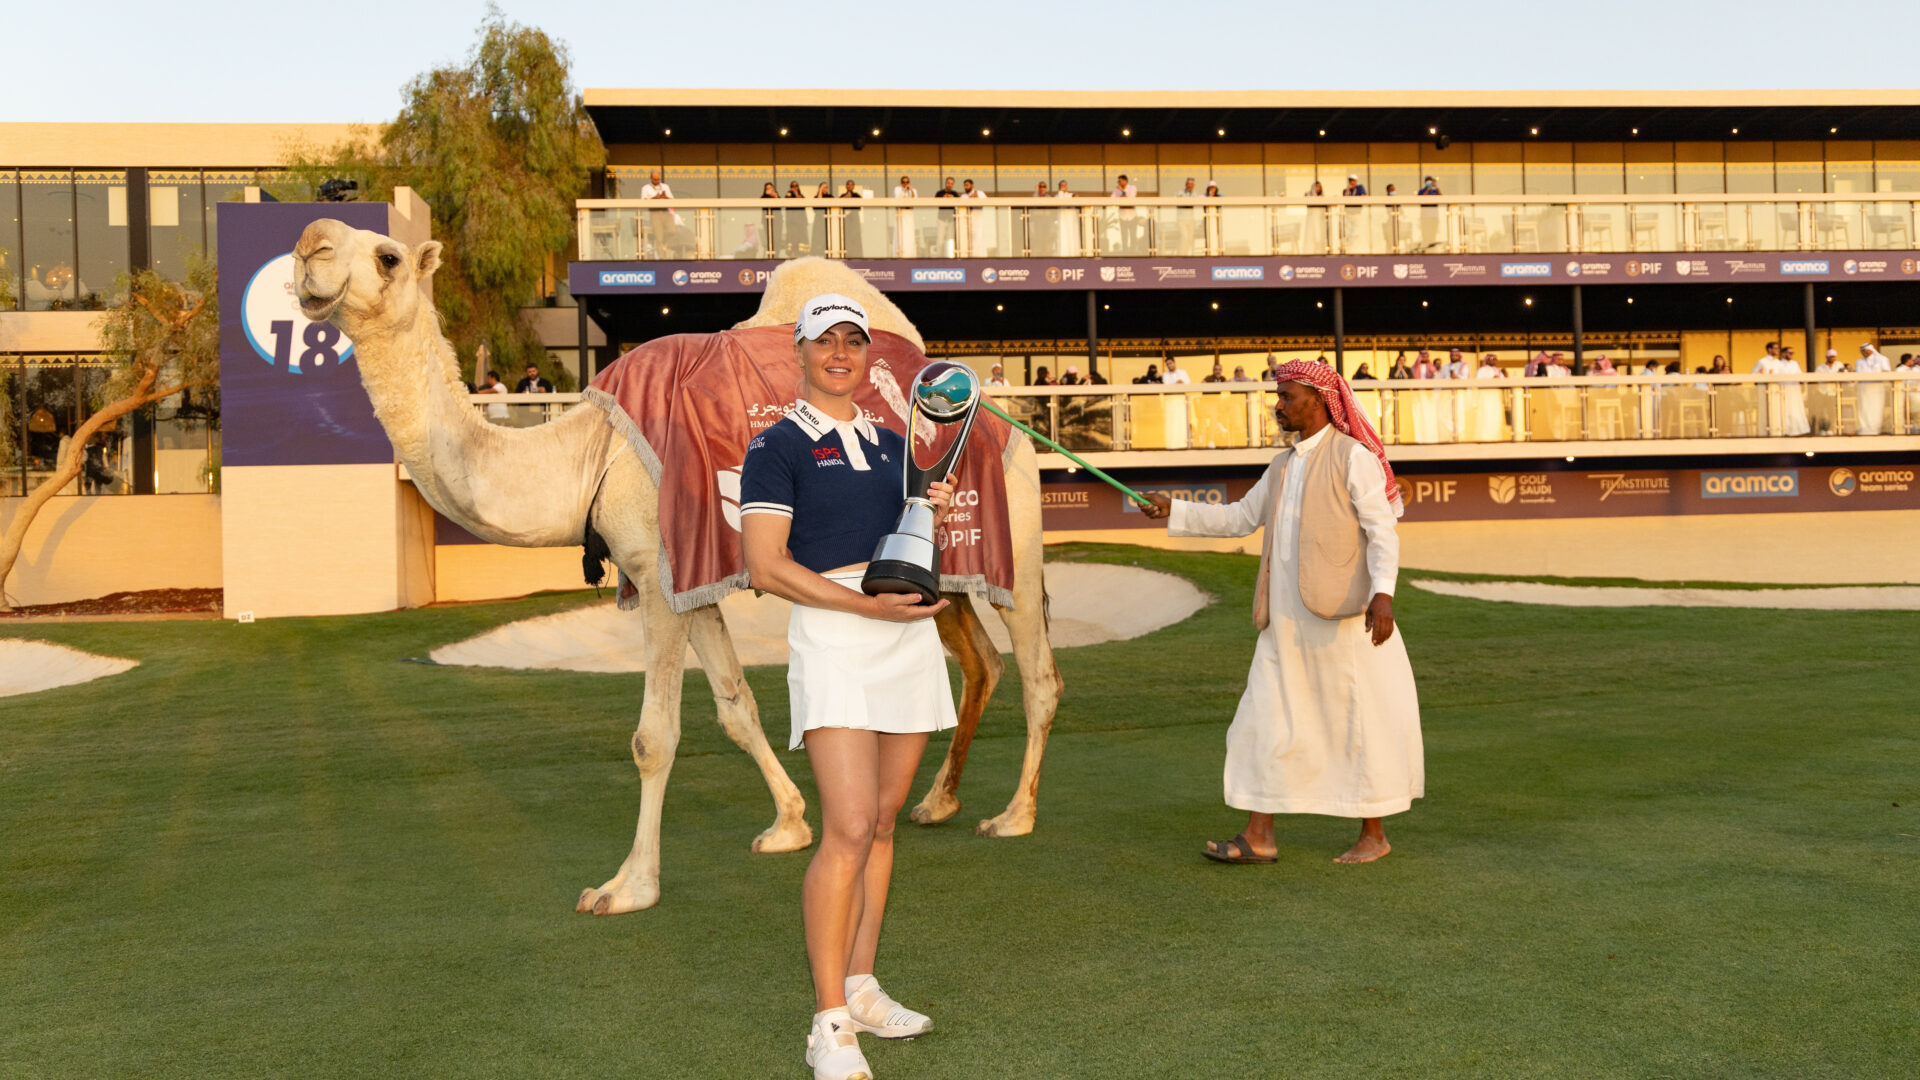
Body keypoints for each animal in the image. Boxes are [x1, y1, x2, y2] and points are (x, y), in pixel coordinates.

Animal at [289, 222, 1067, 910]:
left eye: (387, 256)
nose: (308, 247)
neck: (586, 453)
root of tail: (1012, 423)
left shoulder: (658, 574)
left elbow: (653, 738)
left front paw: (627, 887)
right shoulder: (691, 580)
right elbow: (736, 707)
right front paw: (790, 824)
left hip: (1012, 539)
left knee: (1038, 674)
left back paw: (1015, 815)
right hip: (937, 572)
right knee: (981, 663)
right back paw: (936, 801)